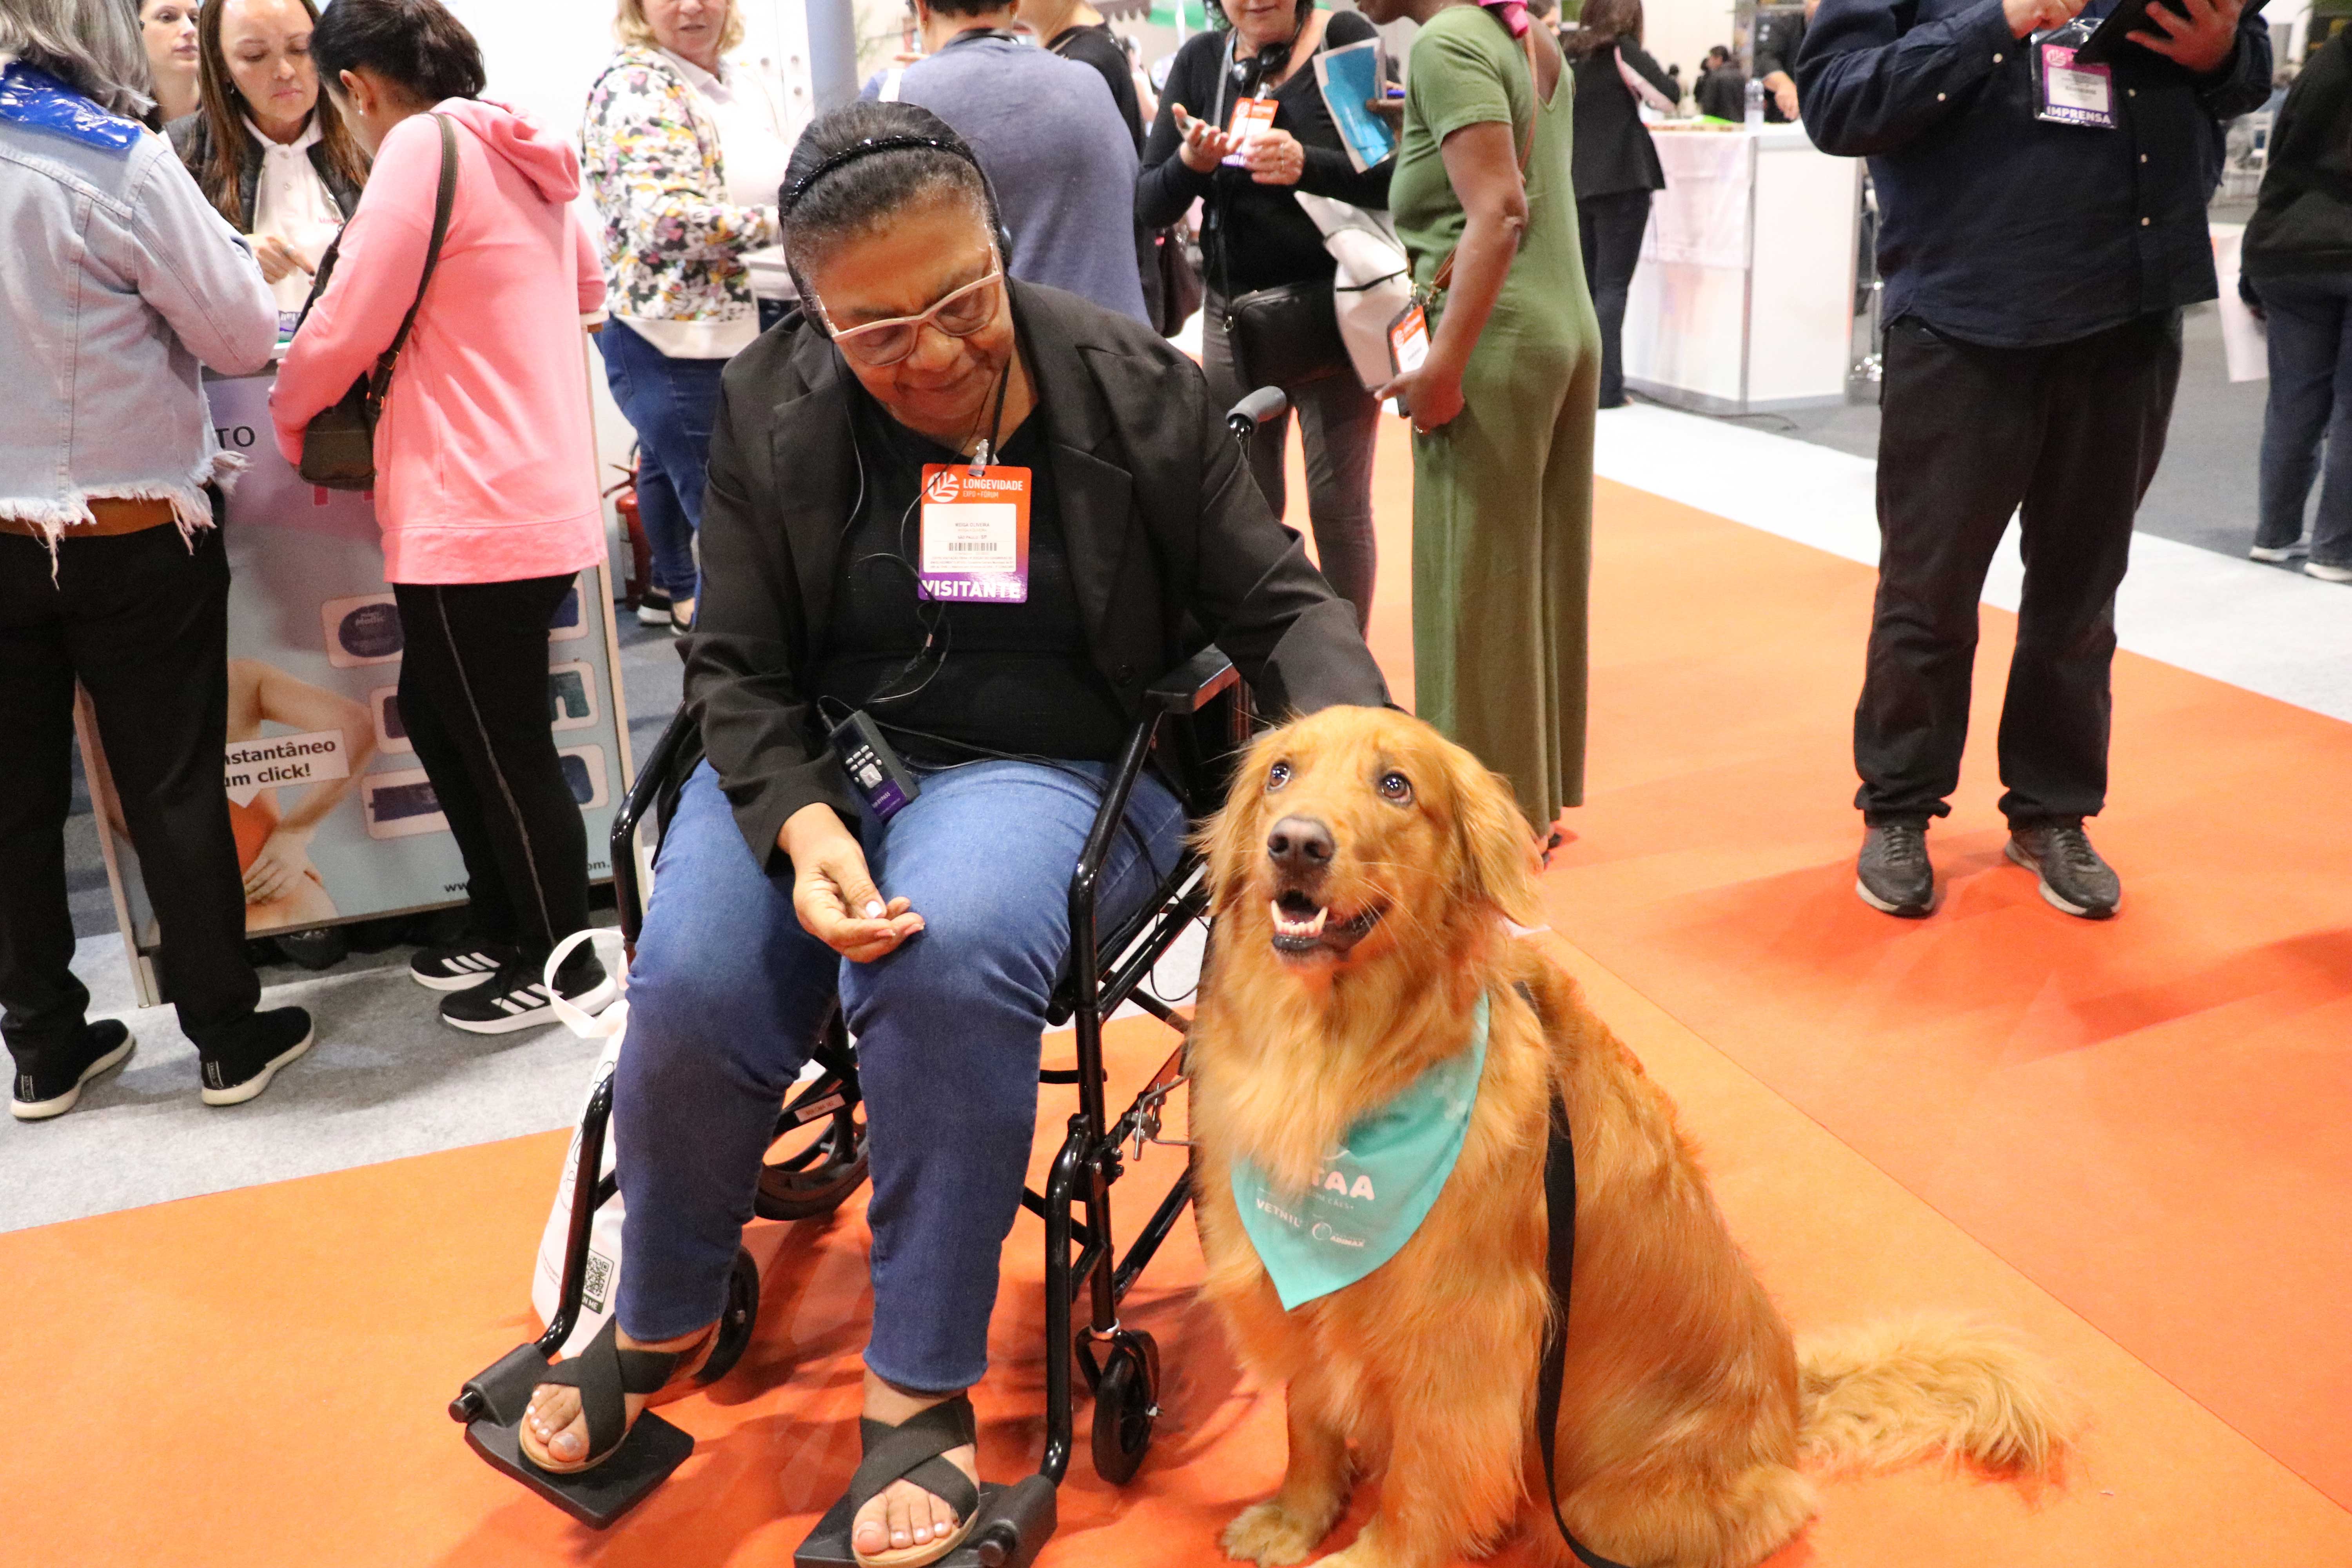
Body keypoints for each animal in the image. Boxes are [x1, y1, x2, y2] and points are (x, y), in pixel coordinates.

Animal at [1185, 710, 2070, 1568]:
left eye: (1396, 785)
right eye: (1280, 772)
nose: (1296, 843)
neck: (1344, 1064)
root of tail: (1791, 1399)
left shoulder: (1463, 1345)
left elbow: (1420, 1489)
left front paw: (1367, 1554)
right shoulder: (1300, 1296)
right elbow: (1308, 1421)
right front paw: (1292, 1518)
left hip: (1601, 1510)